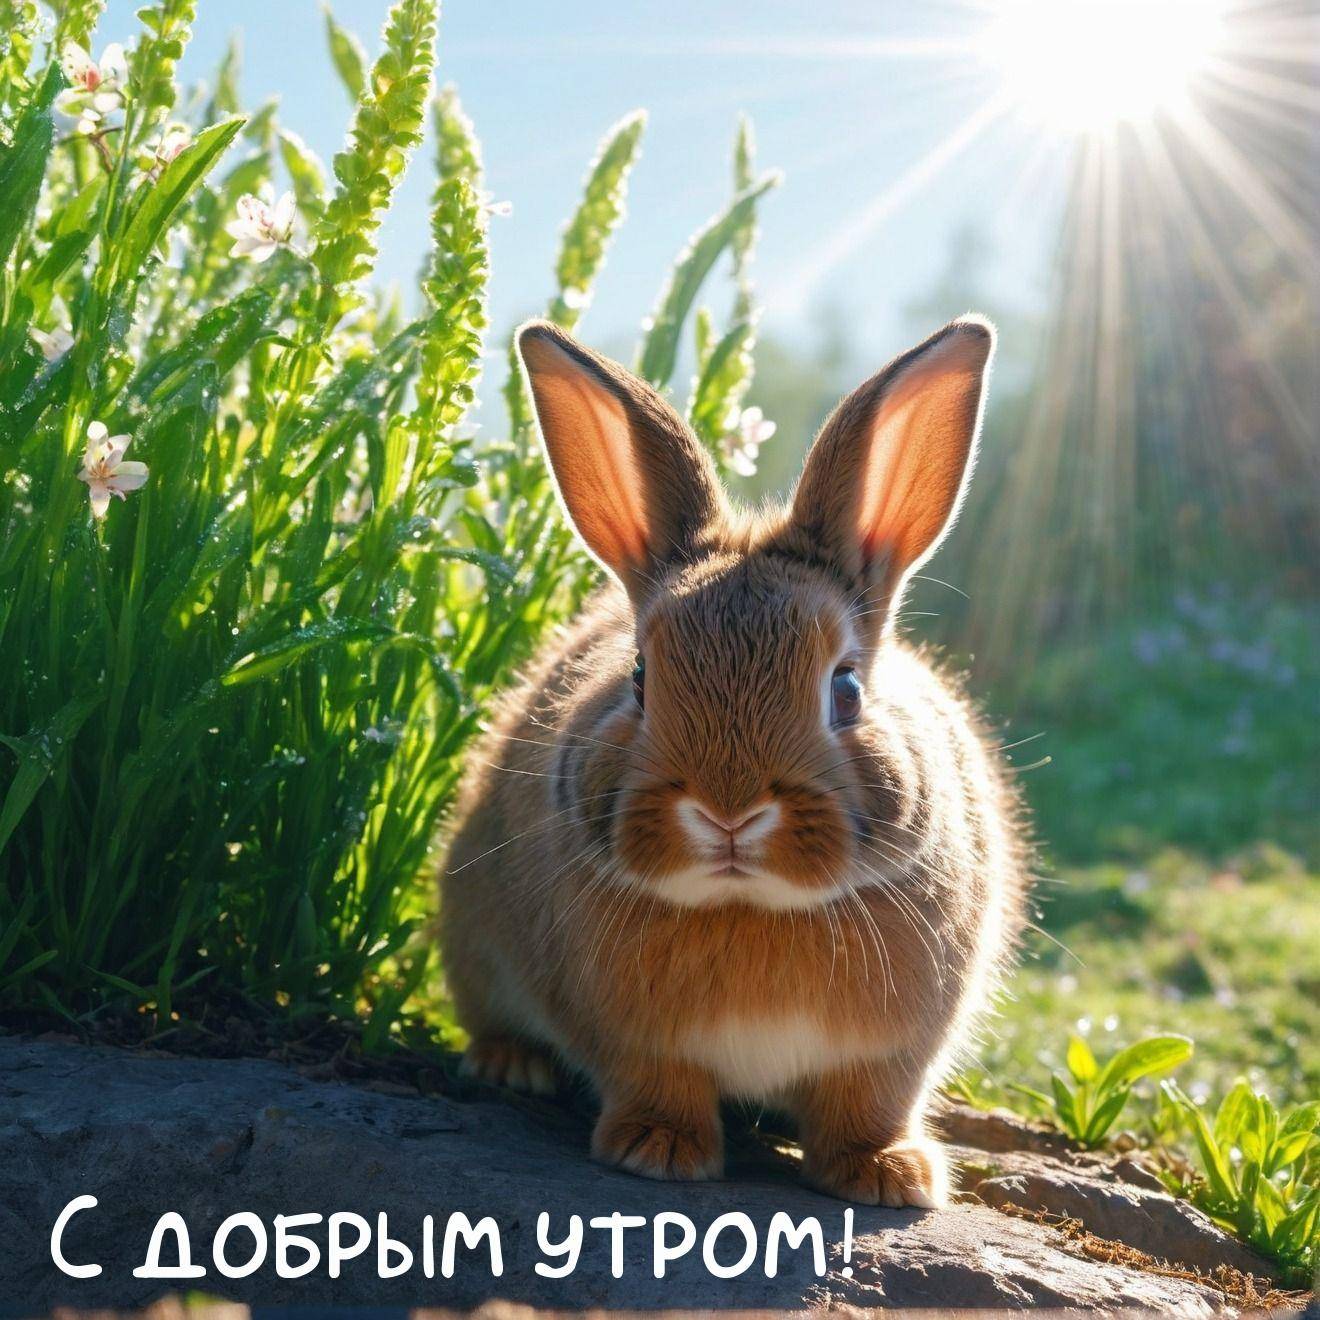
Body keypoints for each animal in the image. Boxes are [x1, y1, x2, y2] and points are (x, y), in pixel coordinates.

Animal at [439, 314, 1029, 1207]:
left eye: (846, 689)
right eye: (640, 679)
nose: (728, 811)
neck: (752, 907)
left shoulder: (893, 1053)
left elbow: (869, 1104)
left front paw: (888, 1176)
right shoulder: (633, 1040)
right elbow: (659, 1082)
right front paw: (655, 1150)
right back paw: (513, 1064)